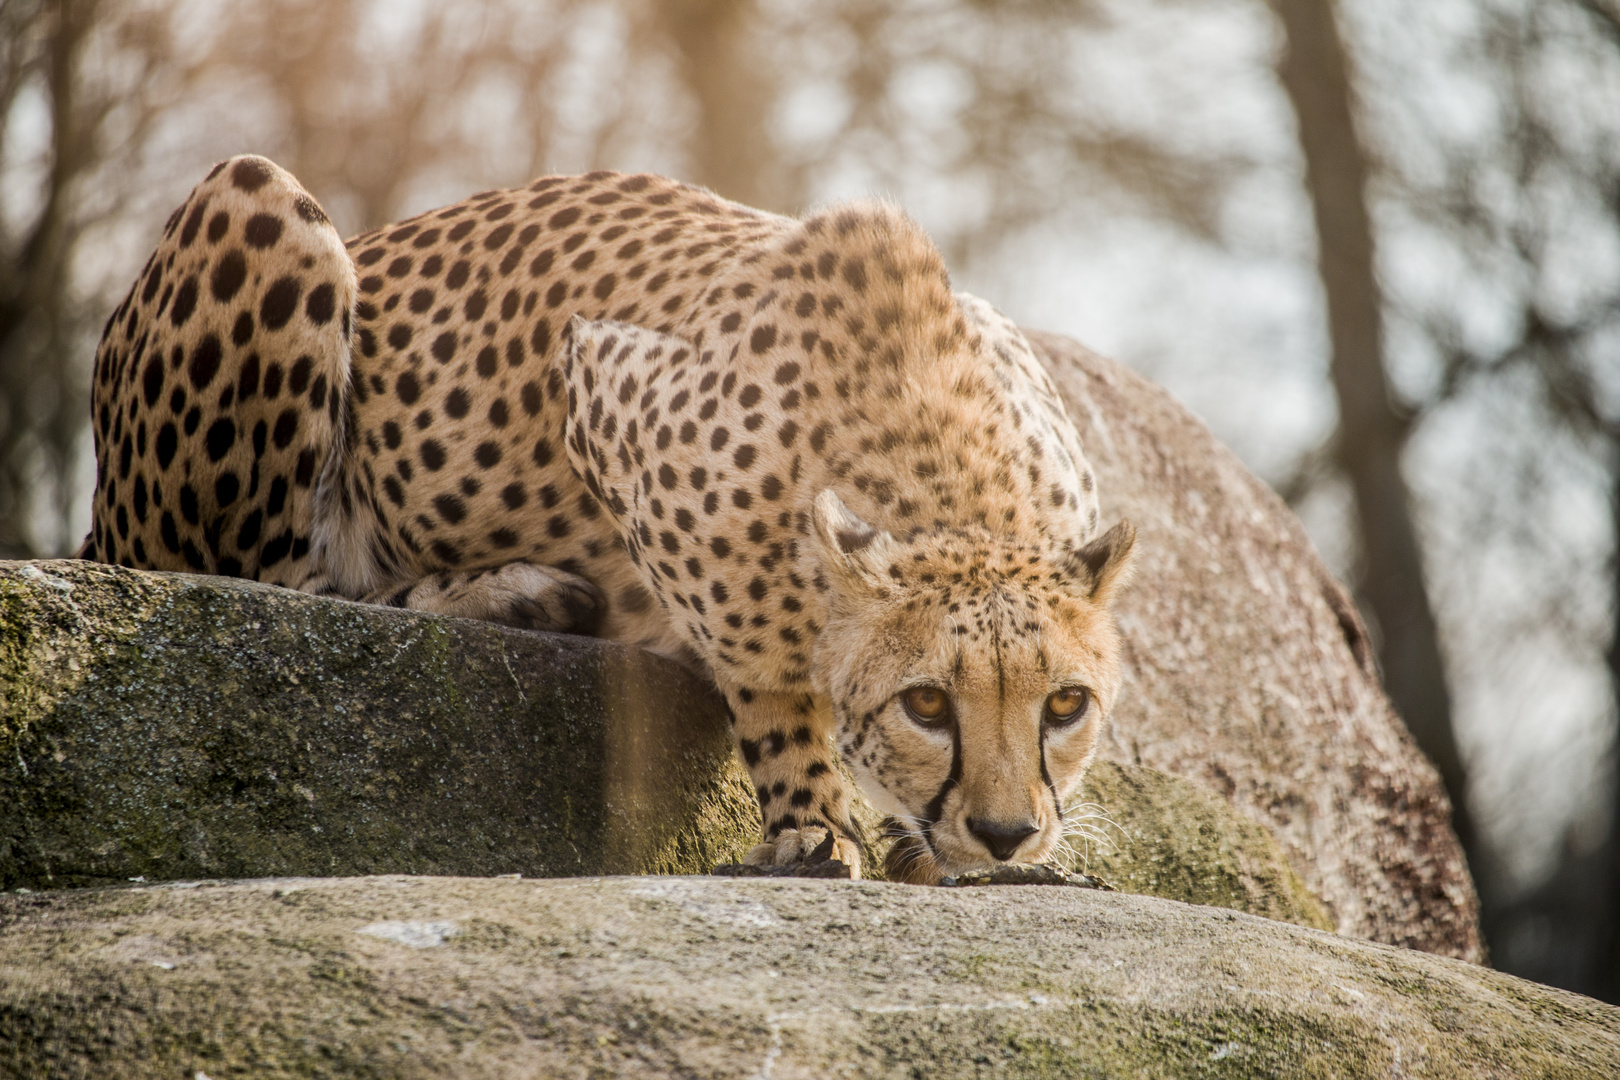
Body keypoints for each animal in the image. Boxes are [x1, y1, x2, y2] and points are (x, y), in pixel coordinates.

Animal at [82, 153, 1134, 880]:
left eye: (1065, 706)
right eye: (927, 704)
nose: (1005, 834)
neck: (945, 469)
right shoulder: (600, 387)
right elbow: (759, 664)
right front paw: (810, 823)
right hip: (251, 199)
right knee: (280, 578)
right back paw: (511, 592)